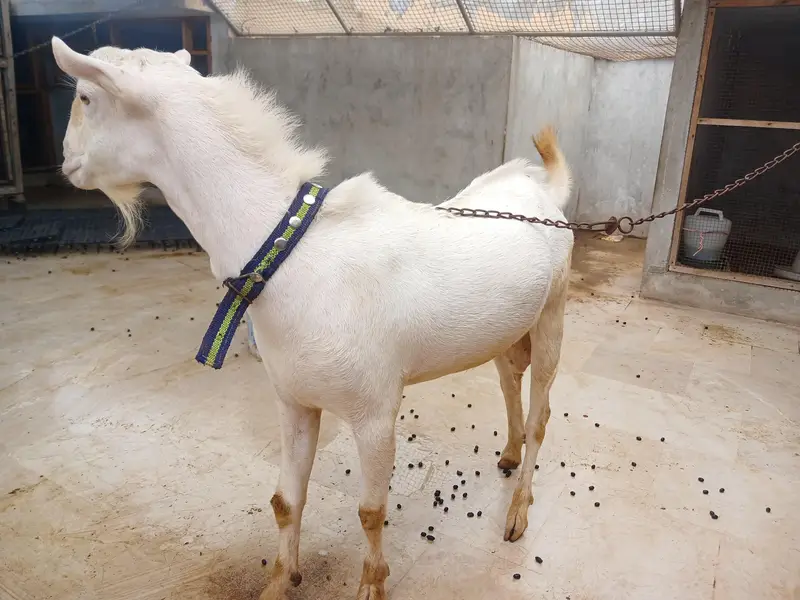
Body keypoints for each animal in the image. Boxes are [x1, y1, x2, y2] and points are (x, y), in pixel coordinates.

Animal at [51, 37, 573, 600]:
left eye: (85, 97)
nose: (66, 163)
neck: (292, 254)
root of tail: (544, 192)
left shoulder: (375, 411)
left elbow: (370, 511)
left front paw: (371, 586)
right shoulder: (294, 399)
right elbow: (285, 500)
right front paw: (281, 582)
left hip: (554, 311)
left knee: (541, 412)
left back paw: (518, 513)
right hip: (509, 329)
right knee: (509, 380)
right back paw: (509, 453)